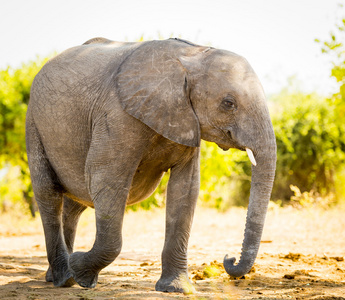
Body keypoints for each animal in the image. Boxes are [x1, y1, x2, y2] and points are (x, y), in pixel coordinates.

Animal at [25, 37, 276, 292]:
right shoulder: (117, 115)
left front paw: (176, 289)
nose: (229, 259)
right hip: (34, 123)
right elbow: (105, 178)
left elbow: (185, 189)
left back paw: (56, 275)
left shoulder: (187, 121)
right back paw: (65, 277)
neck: (191, 56)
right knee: (49, 194)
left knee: (75, 204)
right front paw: (81, 273)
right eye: (228, 103)